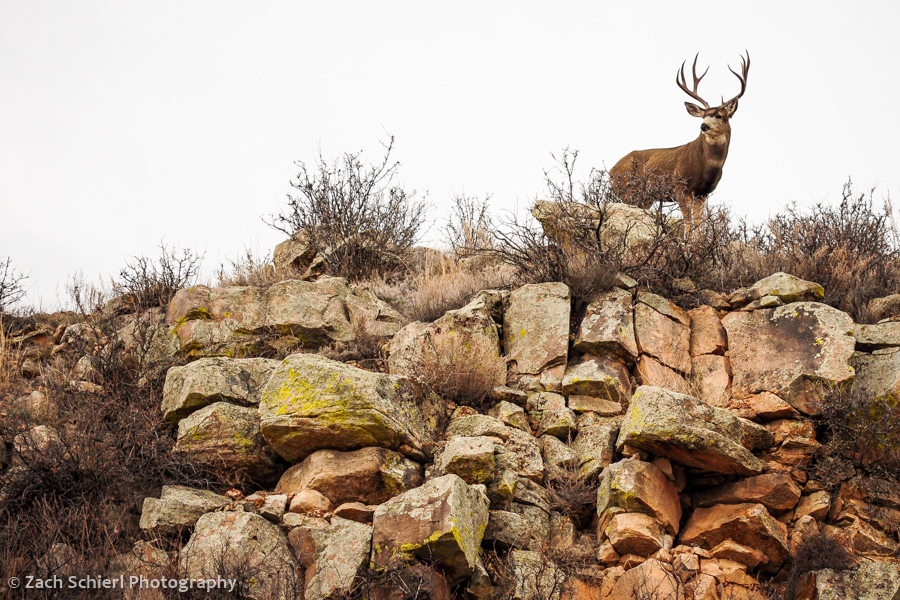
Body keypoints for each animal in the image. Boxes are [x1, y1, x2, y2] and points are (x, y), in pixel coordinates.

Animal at [610, 51, 750, 236]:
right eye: (703, 115)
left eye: (719, 115)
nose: (703, 126)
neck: (707, 166)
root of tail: (611, 169)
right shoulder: (680, 185)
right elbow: (687, 221)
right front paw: (687, 241)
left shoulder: (702, 193)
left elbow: (698, 222)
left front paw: (698, 242)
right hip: (627, 189)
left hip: (645, 196)